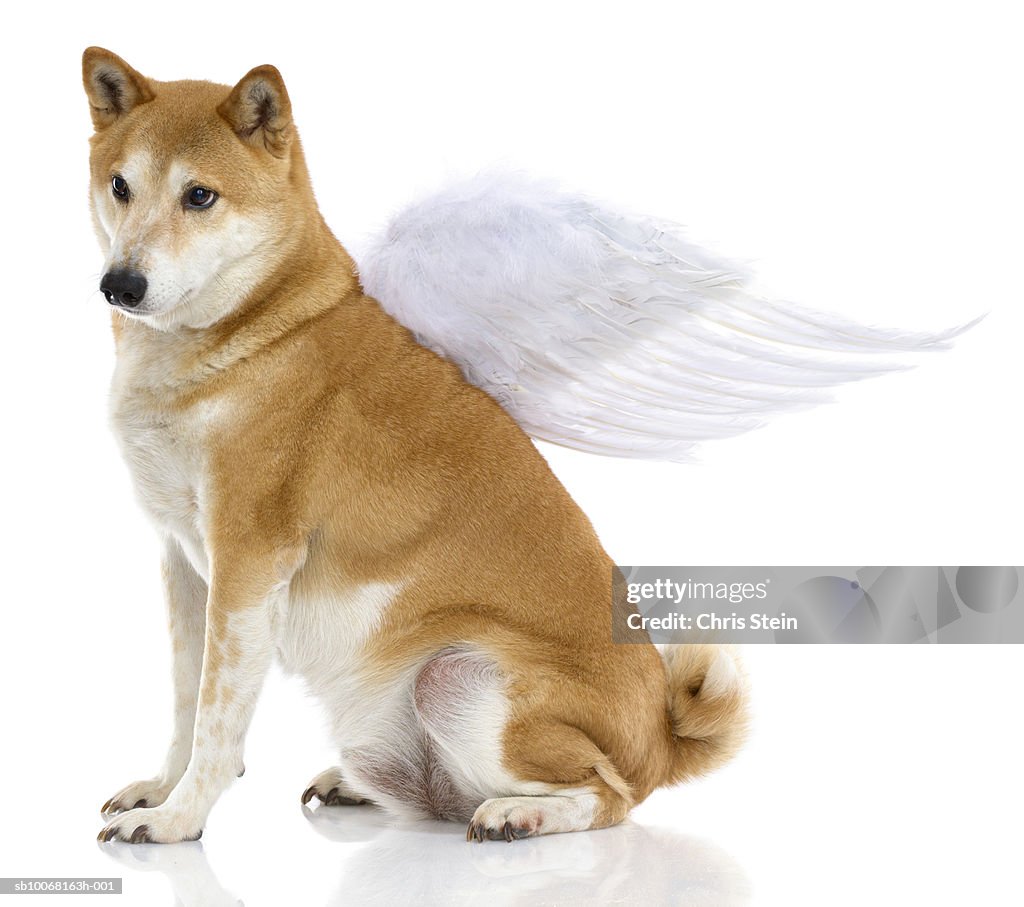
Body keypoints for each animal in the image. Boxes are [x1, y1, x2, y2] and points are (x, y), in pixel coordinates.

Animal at [83, 47, 749, 843]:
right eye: (121, 186)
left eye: (200, 196)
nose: (120, 285)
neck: (252, 330)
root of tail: (662, 737)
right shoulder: (185, 562)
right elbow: (188, 701)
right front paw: (161, 789)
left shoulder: (246, 562)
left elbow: (219, 719)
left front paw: (180, 818)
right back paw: (365, 787)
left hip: (459, 680)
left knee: (608, 794)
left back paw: (519, 813)